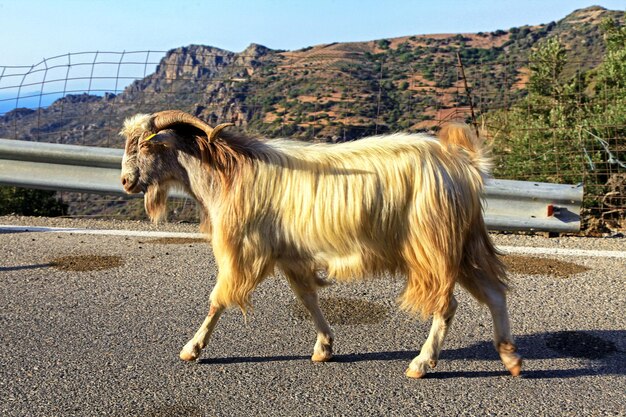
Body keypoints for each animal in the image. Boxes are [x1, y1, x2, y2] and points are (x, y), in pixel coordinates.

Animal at [119, 110, 520, 376]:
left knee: (447, 305)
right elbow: (308, 298)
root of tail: (463, 164)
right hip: (463, 243)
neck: (229, 173)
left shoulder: (245, 250)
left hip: (432, 245)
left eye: (147, 146)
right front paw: (324, 347)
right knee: (494, 293)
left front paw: (192, 348)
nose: (124, 181)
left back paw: (422, 363)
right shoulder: (291, 255)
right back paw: (510, 357)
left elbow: (218, 299)